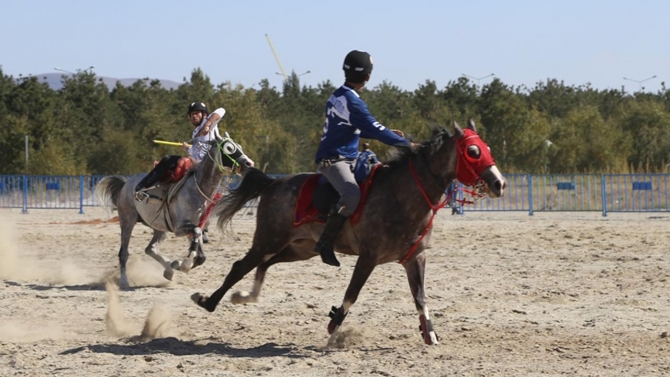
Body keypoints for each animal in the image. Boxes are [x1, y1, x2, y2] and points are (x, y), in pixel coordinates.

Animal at [93, 137, 253, 286]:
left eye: (239, 146)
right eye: (229, 148)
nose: (249, 164)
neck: (199, 189)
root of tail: (125, 184)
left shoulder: (197, 226)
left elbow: (201, 256)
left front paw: (178, 264)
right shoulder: (180, 228)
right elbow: (196, 238)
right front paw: (184, 265)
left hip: (159, 227)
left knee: (150, 249)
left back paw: (169, 270)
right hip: (127, 220)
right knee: (124, 253)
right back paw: (124, 281)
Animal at [192, 119, 506, 344]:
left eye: (488, 148)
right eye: (473, 151)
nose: (499, 183)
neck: (401, 194)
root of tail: (272, 184)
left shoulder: (415, 258)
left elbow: (420, 297)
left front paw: (429, 332)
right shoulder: (368, 258)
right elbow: (351, 294)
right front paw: (334, 326)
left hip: (299, 249)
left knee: (263, 266)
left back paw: (243, 297)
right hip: (268, 241)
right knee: (240, 266)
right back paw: (208, 301)